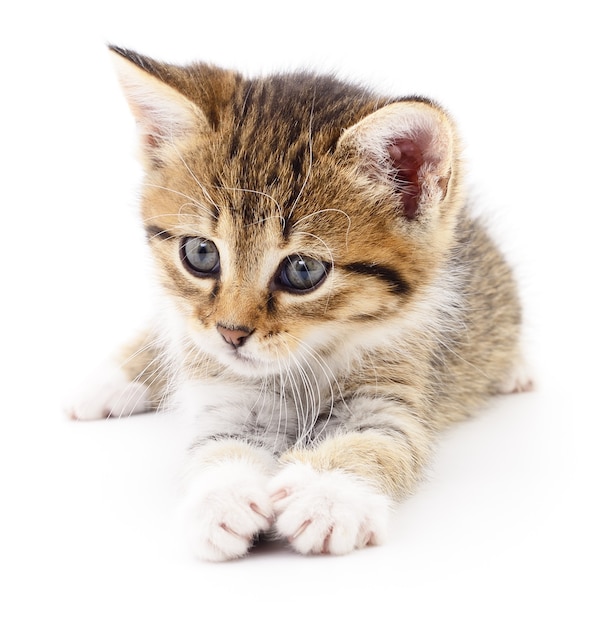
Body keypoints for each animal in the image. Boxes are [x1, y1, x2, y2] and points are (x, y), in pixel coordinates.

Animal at [67, 46, 528, 560]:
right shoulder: (229, 390)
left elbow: (378, 441)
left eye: (303, 271)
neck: (310, 357)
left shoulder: (397, 388)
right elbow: (218, 441)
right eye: (201, 254)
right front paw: (221, 498)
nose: (230, 333)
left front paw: (328, 497)